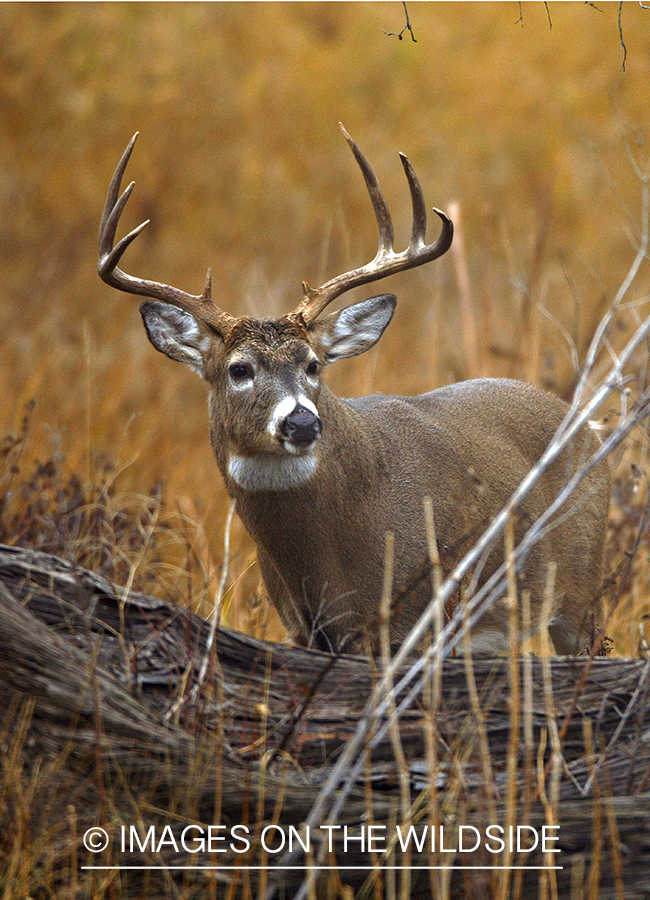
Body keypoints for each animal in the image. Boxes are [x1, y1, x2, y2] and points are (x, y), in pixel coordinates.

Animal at [96, 126, 608, 652]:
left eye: (313, 364)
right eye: (239, 370)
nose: (302, 422)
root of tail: (586, 423)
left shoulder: (416, 615)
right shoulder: (301, 627)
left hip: (581, 593)